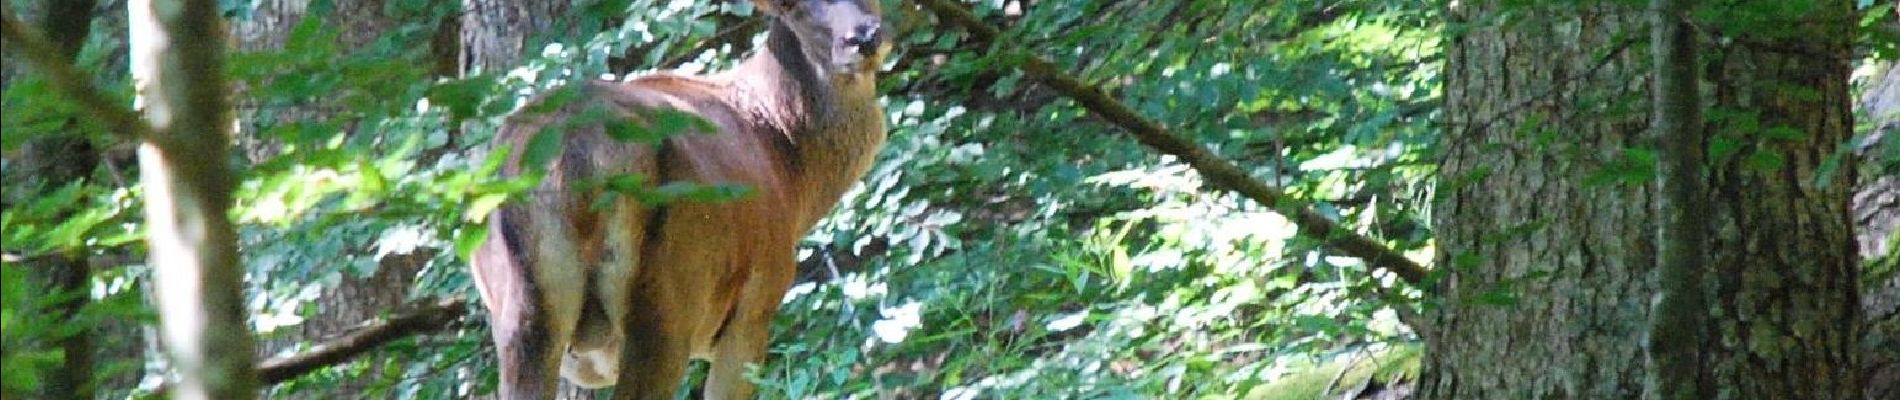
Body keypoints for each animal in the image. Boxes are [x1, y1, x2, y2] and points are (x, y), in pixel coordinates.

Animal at [471, 1, 893, 398]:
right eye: (791, 7)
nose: (864, 37)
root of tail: (575, 152)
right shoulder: (756, 304)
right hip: (666, 304)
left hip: (523, 315)